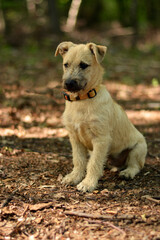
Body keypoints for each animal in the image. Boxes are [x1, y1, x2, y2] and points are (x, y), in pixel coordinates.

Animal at [55, 40, 148, 191]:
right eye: (66, 64)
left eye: (83, 65)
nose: (68, 83)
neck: (82, 100)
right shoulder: (75, 138)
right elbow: (79, 160)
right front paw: (74, 177)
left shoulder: (101, 139)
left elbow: (93, 163)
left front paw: (88, 183)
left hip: (138, 148)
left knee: (136, 165)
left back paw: (127, 172)